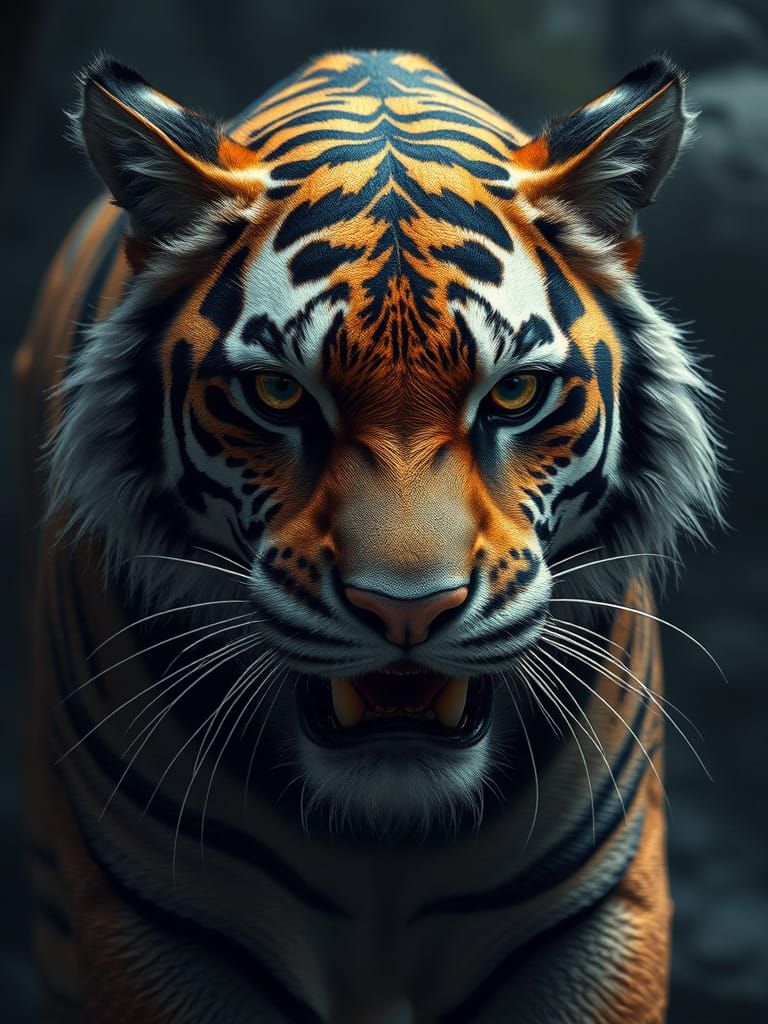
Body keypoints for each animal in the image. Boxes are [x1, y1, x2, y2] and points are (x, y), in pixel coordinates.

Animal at [16, 49, 722, 1023]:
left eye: (513, 393)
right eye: (278, 394)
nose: (407, 613)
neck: (387, 840)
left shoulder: (598, 915)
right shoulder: (155, 926)